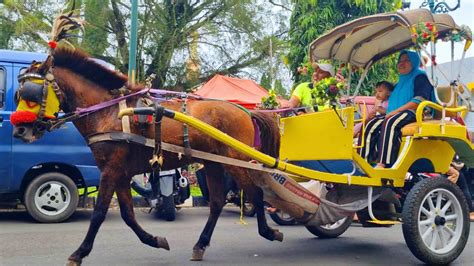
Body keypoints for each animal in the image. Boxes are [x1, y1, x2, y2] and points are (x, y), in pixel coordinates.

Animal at [12, 47, 284, 264]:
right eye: (18, 94)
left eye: (31, 93)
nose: (19, 130)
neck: (108, 112)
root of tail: (246, 112)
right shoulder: (120, 173)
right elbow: (127, 214)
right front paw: (155, 240)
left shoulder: (110, 170)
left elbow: (99, 213)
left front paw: (79, 253)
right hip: (213, 163)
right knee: (217, 202)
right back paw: (200, 244)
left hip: (237, 160)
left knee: (255, 193)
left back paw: (269, 231)